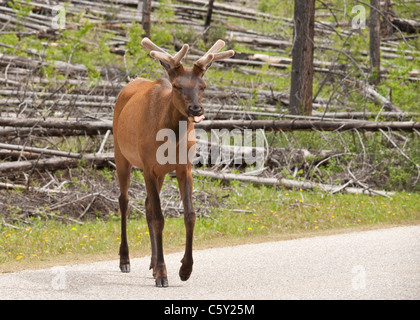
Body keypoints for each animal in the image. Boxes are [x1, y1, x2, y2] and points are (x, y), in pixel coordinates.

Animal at [113, 38, 235, 288]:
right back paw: (125, 259)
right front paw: (163, 273)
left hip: (159, 172)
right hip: (122, 156)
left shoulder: (184, 168)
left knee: (147, 205)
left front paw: (185, 269)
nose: (196, 109)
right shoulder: (148, 167)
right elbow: (160, 218)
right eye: (177, 86)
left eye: (202, 86)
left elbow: (189, 215)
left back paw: (151, 262)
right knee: (124, 201)